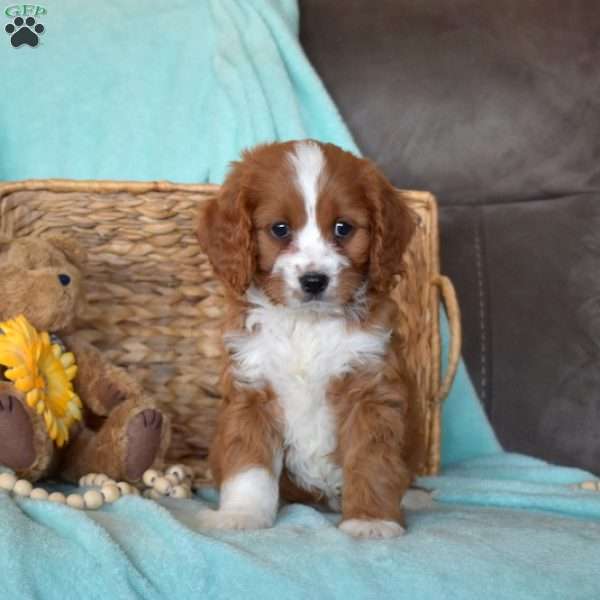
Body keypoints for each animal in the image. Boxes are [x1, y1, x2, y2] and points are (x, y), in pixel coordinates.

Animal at [196, 141, 422, 540]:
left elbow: (372, 460)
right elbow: (248, 466)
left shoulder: (372, 391)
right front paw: (241, 515)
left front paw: (371, 521)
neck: (307, 325)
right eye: (280, 229)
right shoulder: (252, 391)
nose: (314, 281)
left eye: (343, 228)